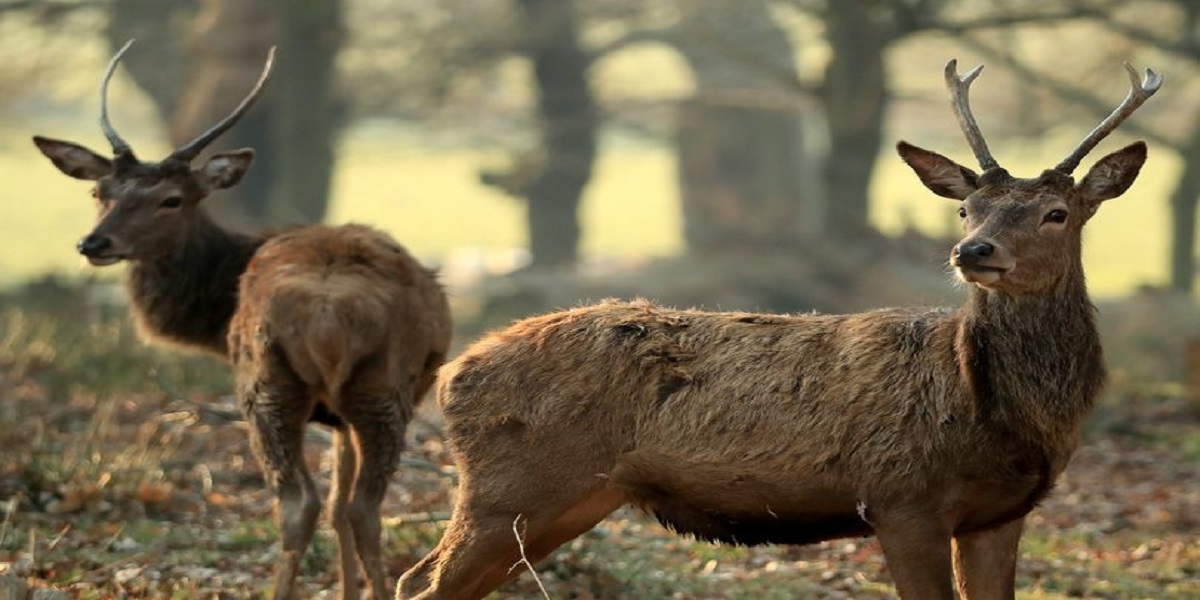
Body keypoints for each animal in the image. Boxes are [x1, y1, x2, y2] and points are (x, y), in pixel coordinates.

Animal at [33, 41, 452, 600]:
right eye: (99, 192)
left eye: (172, 199)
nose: (94, 242)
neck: (214, 309)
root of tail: (326, 317)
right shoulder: (339, 418)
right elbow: (339, 506)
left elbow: (334, 505)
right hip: (367, 390)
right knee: (351, 507)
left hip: (279, 386)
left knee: (312, 504)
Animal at [395, 60, 1160, 600]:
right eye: (967, 208)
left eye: (1057, 213)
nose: (973, 252)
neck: (995, 414)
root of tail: (453, 373)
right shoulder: (901, 497)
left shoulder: (1000, 514)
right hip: (509, 486)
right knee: (418, 583)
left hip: (568, 496)